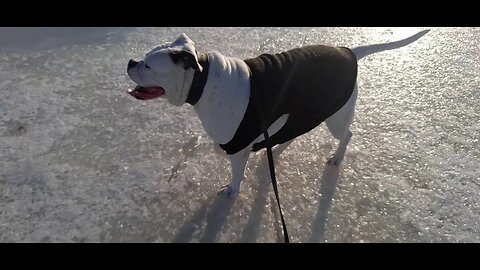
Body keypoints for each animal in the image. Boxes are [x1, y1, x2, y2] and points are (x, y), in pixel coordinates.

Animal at [127, 30, 432, 196]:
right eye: (143, 59)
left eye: (149, 66)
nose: (130, 61)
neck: (201, 81)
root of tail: (349, 52)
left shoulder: (238, 147)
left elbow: (236, 174)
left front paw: (232, 190)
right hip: (305, 110)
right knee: (294, 130)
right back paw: (277, 147)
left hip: (336, 116)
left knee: (347, 134)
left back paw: (336, 157)